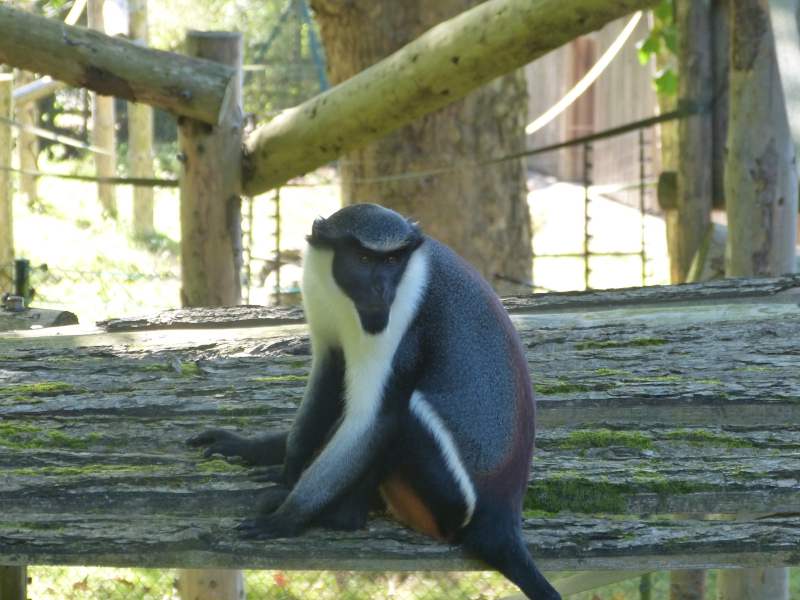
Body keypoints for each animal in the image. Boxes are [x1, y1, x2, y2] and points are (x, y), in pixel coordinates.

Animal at [188, 203, 561, 600]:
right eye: (365, 259)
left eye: (392, 260)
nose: (381, 288)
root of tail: (502, 521)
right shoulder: (321, 304)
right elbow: (328, 377)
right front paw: (280, 463)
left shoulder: (398, 320)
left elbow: (374, 420)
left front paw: (286, 518)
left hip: (448, 500)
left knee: (405, 412)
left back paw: (341, 515)